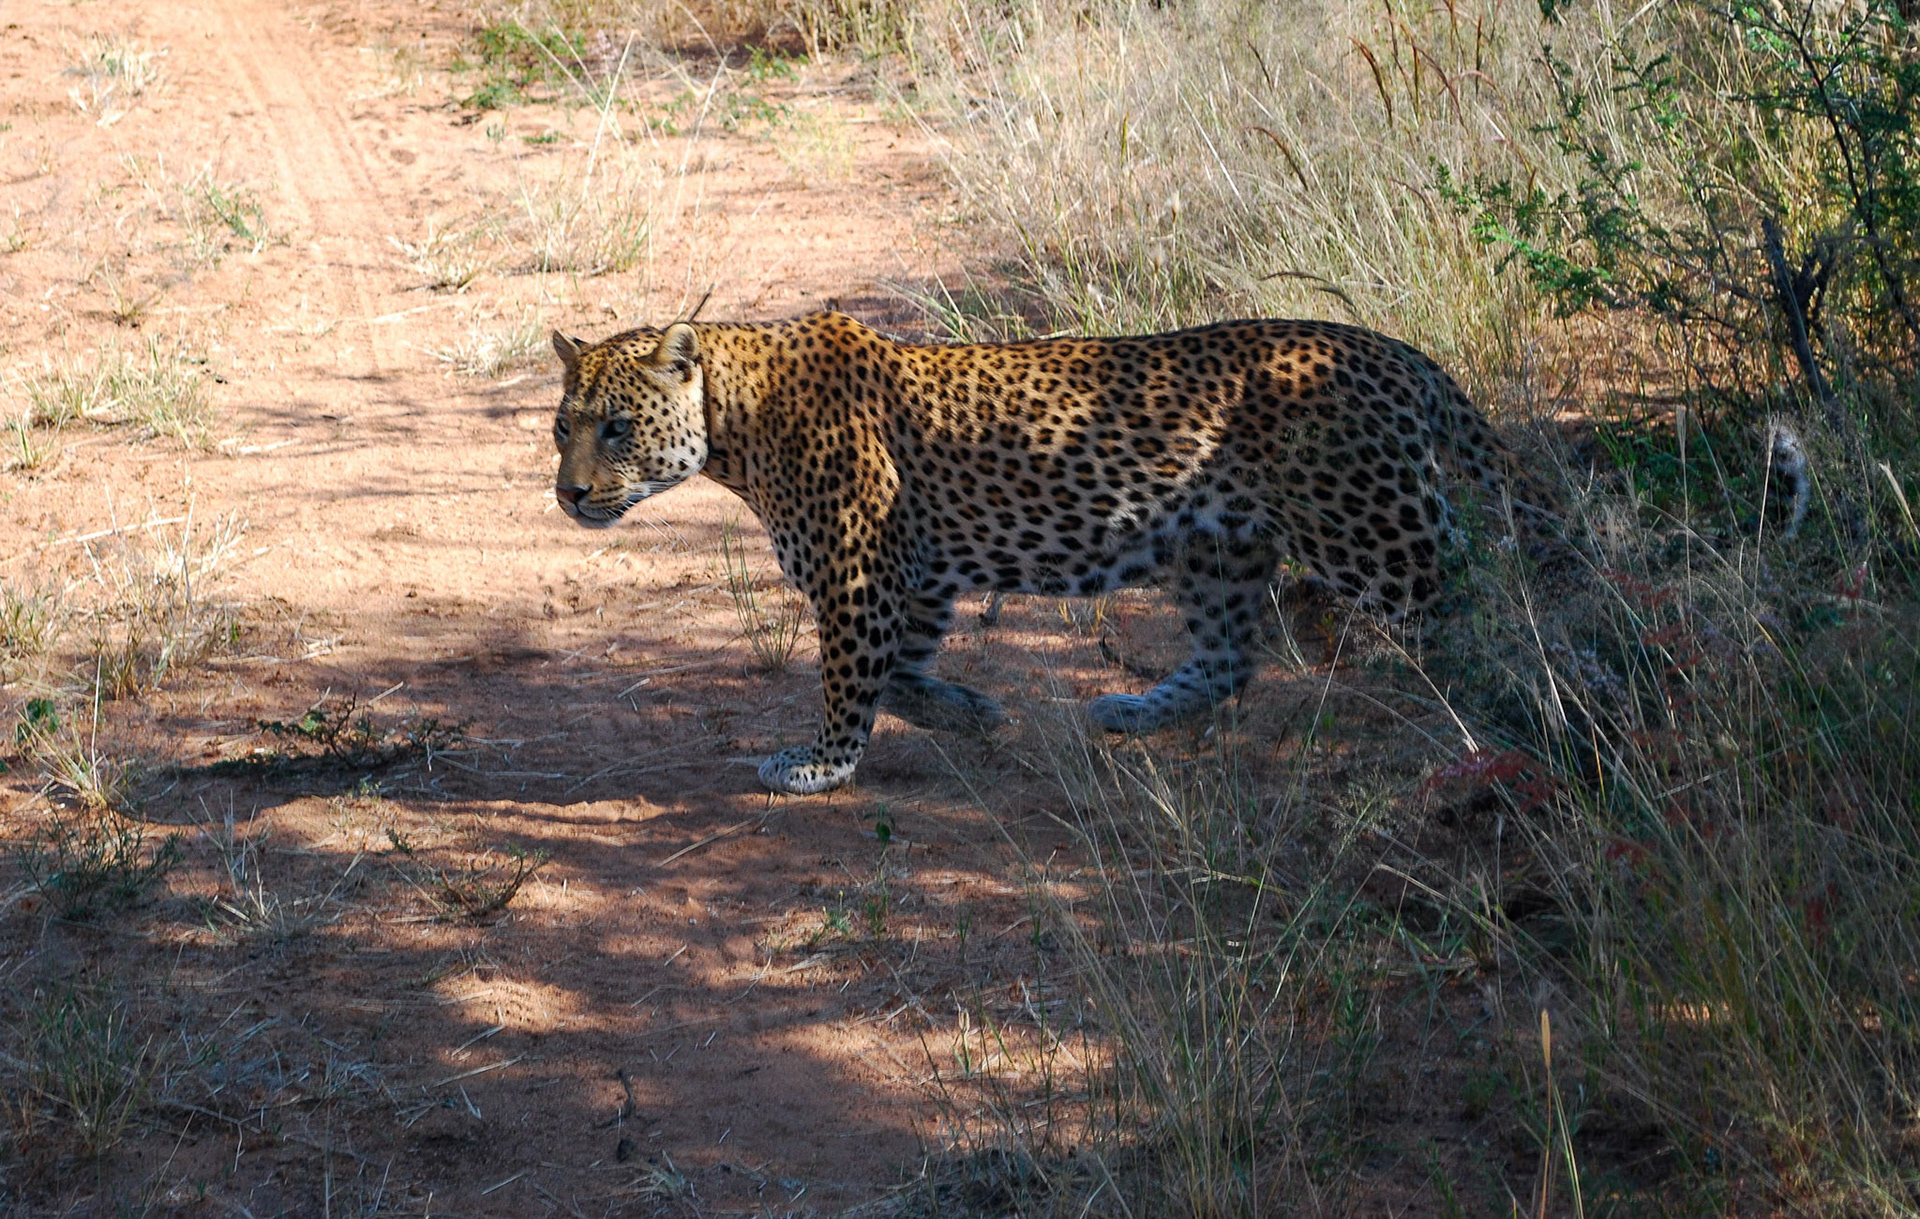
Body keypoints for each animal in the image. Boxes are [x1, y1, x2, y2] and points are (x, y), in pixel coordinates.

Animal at [549, 310, 1551, 795]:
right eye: (563, 427)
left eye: (617, 426)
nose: (569, 493)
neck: (734, 424)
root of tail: (1394, 352)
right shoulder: (916, 576)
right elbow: (900, 678)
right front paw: (975, 712)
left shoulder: (863, 572)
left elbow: (848, 680)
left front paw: (821, 765)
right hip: (1219, 545)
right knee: (1231, 655)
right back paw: (1130, 711)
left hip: (1376, 532)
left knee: (1489, 605)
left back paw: (1528, 704)